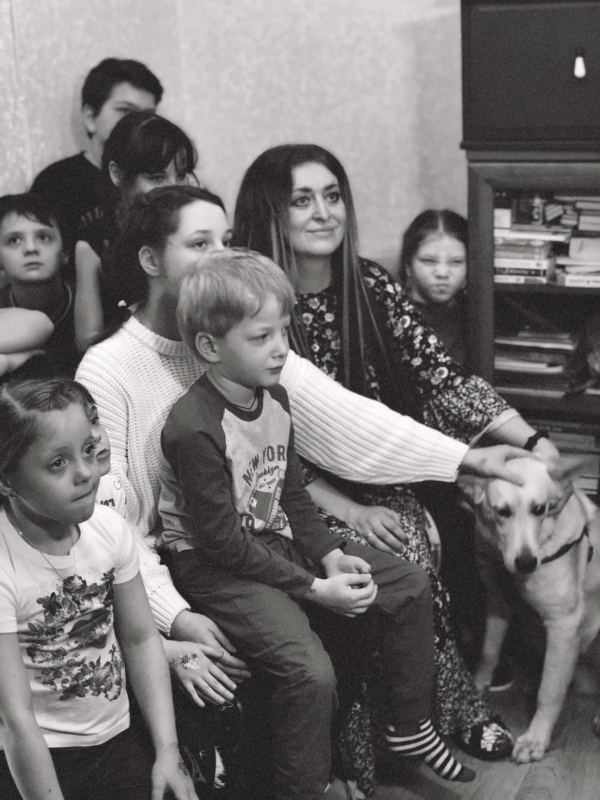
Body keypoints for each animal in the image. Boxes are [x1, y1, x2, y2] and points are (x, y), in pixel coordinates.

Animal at [459, 456, 600, 763]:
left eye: (540, 509)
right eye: (502, 512)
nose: (526, 563)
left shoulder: (562, 626)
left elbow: (550, 692)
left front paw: (536, 738)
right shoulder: (497, 602)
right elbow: (488, 652)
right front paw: (477, 686)